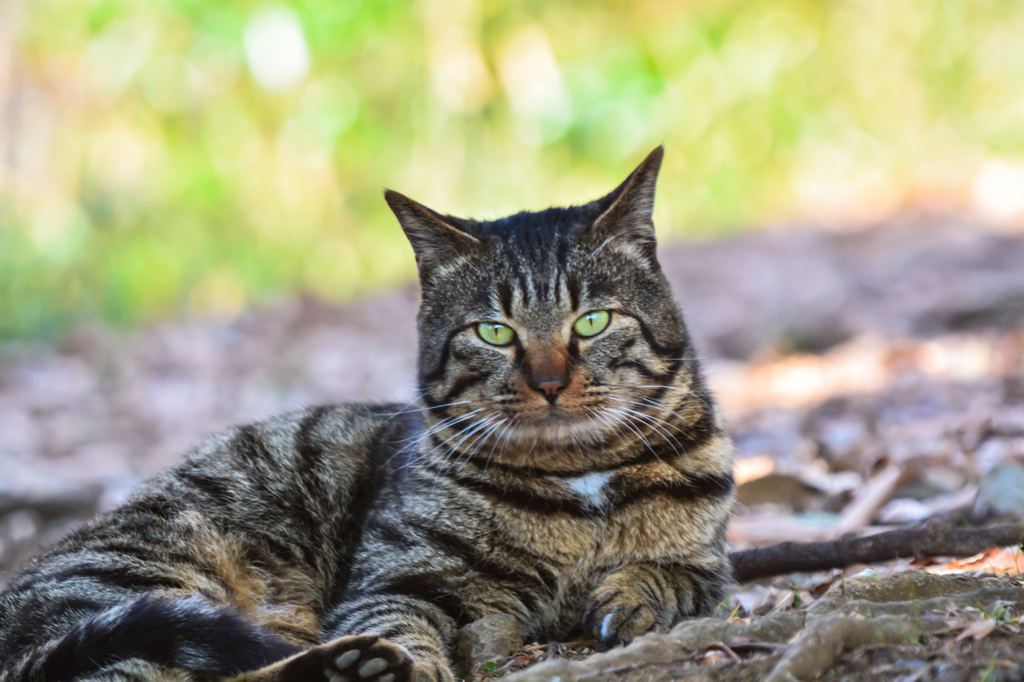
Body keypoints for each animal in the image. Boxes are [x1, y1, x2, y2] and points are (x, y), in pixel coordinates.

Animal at [0, 144, 737, 679]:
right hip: (151, 573)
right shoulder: (396, 580)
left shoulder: (709, 561)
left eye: (591, 321)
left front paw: (631, 593)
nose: (551, 382)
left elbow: (677, 574)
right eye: (493, 332)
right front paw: (411, 667)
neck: (579, 476)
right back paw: (349, 668)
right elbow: (397, 623)